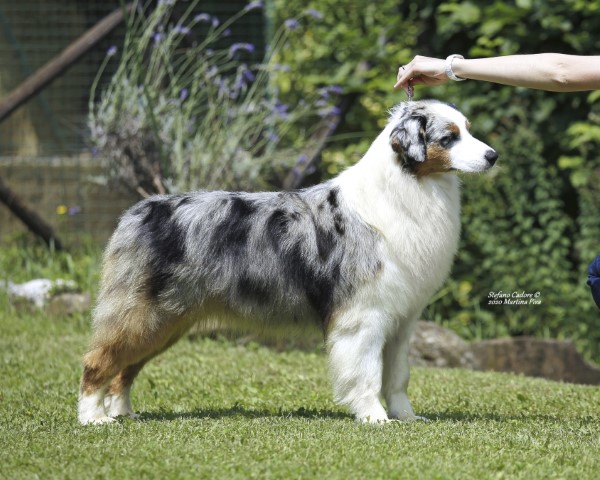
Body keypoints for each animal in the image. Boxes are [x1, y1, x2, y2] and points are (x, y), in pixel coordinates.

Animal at [77, 100, 496, 424]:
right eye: (449, 137)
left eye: (468, 130)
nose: (493, 156)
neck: (410, 190)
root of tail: (139, 210)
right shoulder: (364, 315)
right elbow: (366, 373)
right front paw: (375, 418)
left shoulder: (402, 318)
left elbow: (397, 377)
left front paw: (406, 417)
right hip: (141, 313)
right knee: (98, 360)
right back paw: (94, 418)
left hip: (167, 321)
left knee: (124, 370)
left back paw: (123, 413)